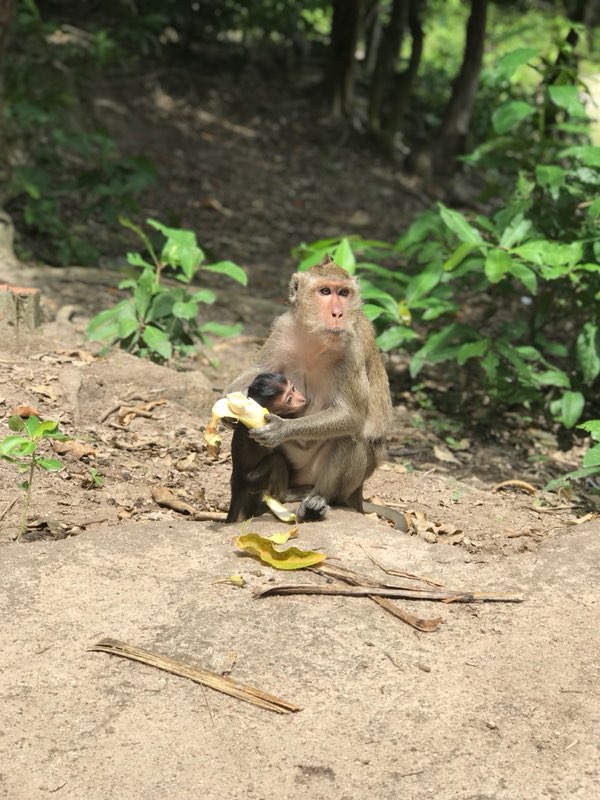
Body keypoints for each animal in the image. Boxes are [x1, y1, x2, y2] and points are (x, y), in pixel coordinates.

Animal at [226, 371, 307, 524]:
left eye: (293, 388)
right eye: (289, 399)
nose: (302, 399)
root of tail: (237, 481)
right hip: (253, 481)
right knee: (276, 460)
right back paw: (285, 496)